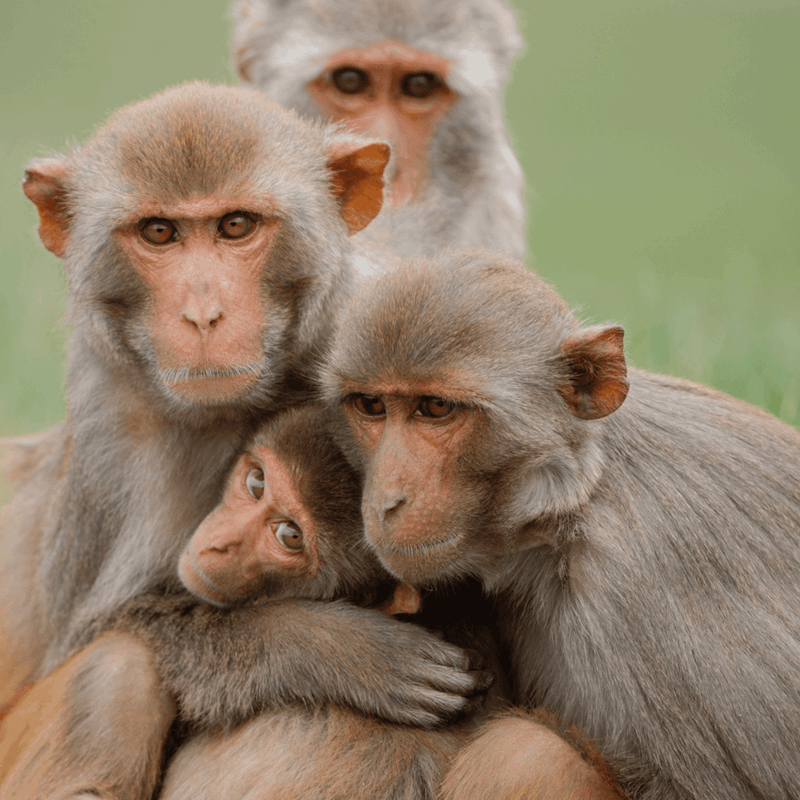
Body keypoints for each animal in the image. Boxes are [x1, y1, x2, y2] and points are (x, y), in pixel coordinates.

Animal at [0, 82, 483, 724]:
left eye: (235, 225)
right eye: (159, 232)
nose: (204, 314)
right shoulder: (112, 429)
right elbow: (101, 626)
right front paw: (332, 648)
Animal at [320, 249, 800, 800]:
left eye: (435, 408)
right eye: (372, 406)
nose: (384, 502)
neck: (568, 513)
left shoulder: (638, 583)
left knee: (524, 754)